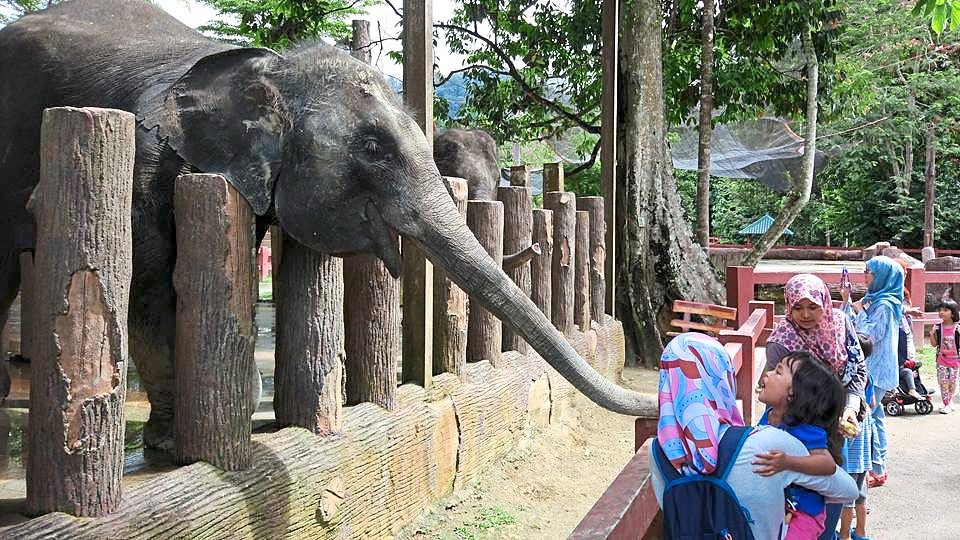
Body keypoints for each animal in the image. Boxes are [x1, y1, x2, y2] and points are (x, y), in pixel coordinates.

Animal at [0, 0, 655, 451]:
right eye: (372, 148)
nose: (651, 399)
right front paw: (168, 443)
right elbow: (152, 288)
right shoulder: (144, 164)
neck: (271, 66)